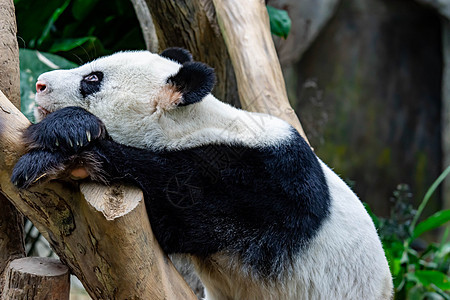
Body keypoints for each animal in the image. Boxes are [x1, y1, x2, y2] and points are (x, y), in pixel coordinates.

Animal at [12, 48, 392, 298]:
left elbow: (186, 211)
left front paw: (64, 138)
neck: (195, 123)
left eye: (92, 79)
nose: (40, 84)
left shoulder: (269, 188)